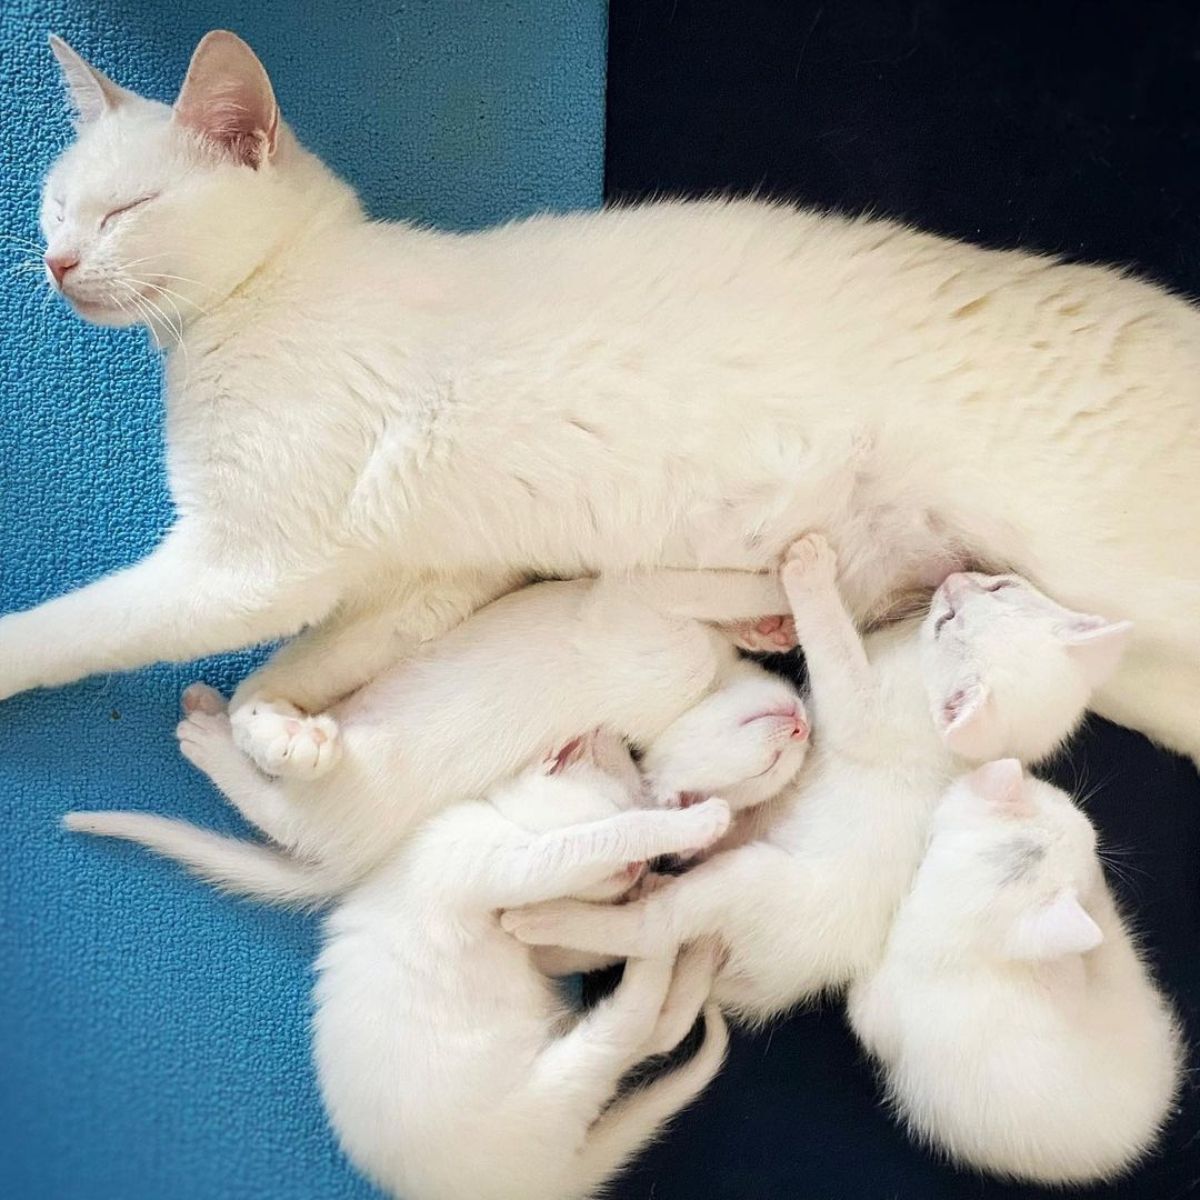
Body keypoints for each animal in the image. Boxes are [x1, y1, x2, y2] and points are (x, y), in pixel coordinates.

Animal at [9, 35, 1200, 777]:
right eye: (55, 205)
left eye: (124, 211)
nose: (56, 261)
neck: (261, 298)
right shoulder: (426, 580)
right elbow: (304, 665)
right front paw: (279, 732)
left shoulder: (244, 567)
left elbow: (81, 628)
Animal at [499, 540, 1132, 1027]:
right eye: (1000, 585)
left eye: (946, 624)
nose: (954, 578)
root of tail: (783, 984)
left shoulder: (859, 716)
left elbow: (835, 650)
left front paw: (810, 572)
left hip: (753, 882)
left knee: (657, 929)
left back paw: (546, 920)